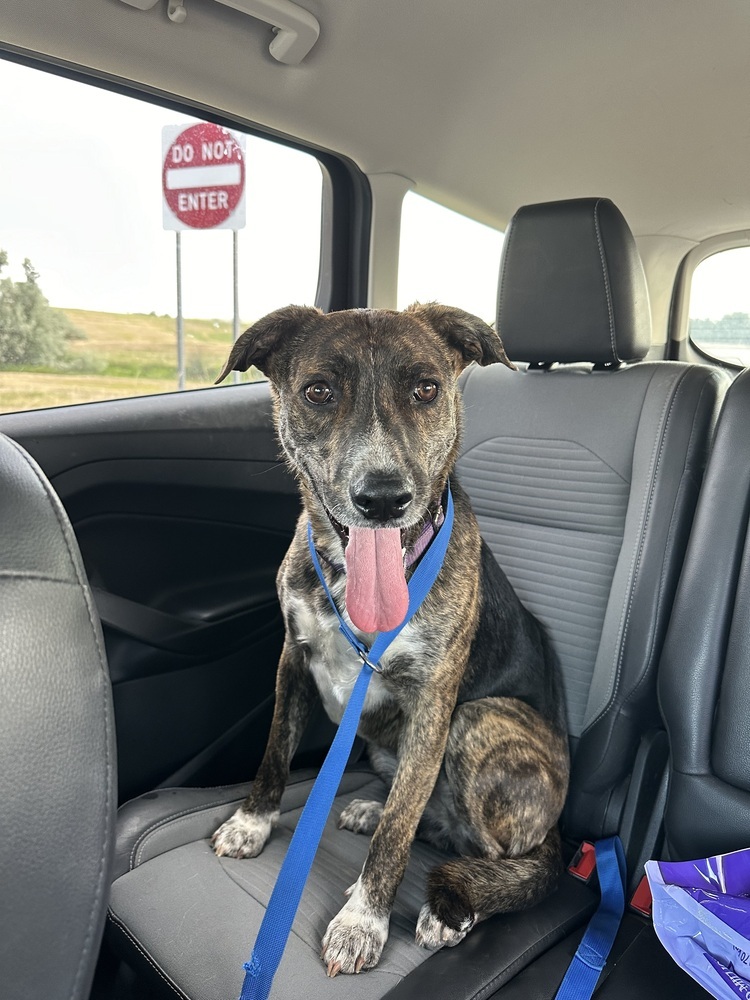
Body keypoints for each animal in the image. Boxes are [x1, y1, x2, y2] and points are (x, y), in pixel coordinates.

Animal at [212, 302, 568, 976]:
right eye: (318, 391)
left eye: (426, 389)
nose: (382, 499)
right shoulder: (293, 656)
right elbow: (275, 750)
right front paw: (253, 821)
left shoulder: (433, 703)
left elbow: (397, 835)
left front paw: (362, 920)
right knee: (426, 813)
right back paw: (371, 807)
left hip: (479, 721)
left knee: (508, 861)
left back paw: (456, 906)